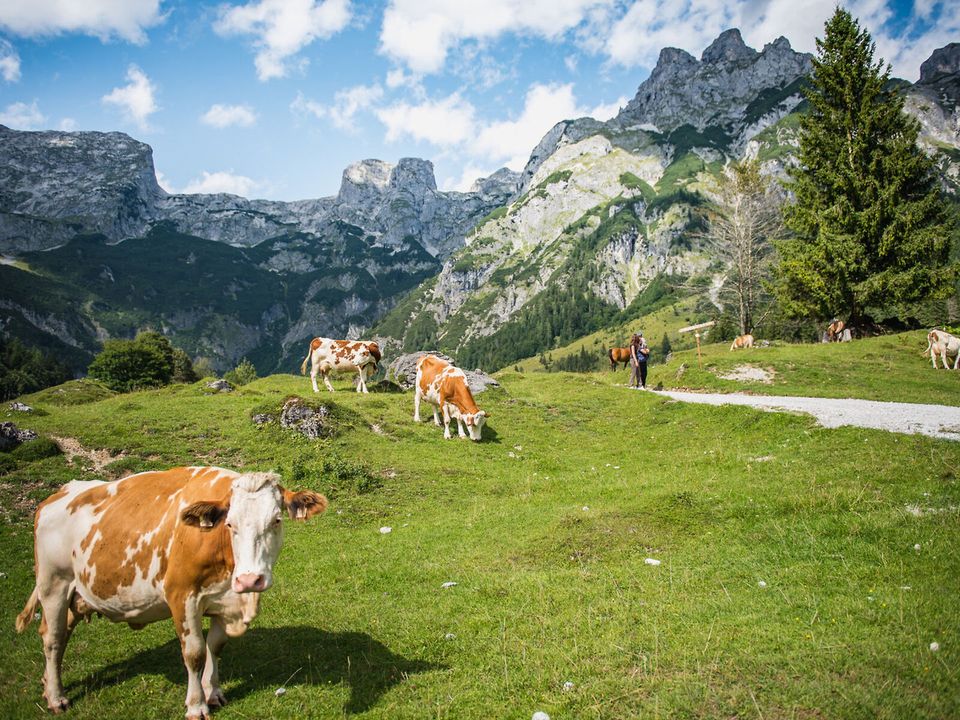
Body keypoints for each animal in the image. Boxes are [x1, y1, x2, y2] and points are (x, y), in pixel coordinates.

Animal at [15, 464, 328, 716]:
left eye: (276, 520)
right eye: (229, 524)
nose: (250, 580)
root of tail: (58, 494)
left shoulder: (223, 601)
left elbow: (216, 645)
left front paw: (213, 693)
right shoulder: (182, 596)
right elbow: (195, 652)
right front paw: (196, 705)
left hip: (77, 594)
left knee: (63, 633)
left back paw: (47, 683)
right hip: (53, 583)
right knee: (53, 638)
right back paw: (56, 697)